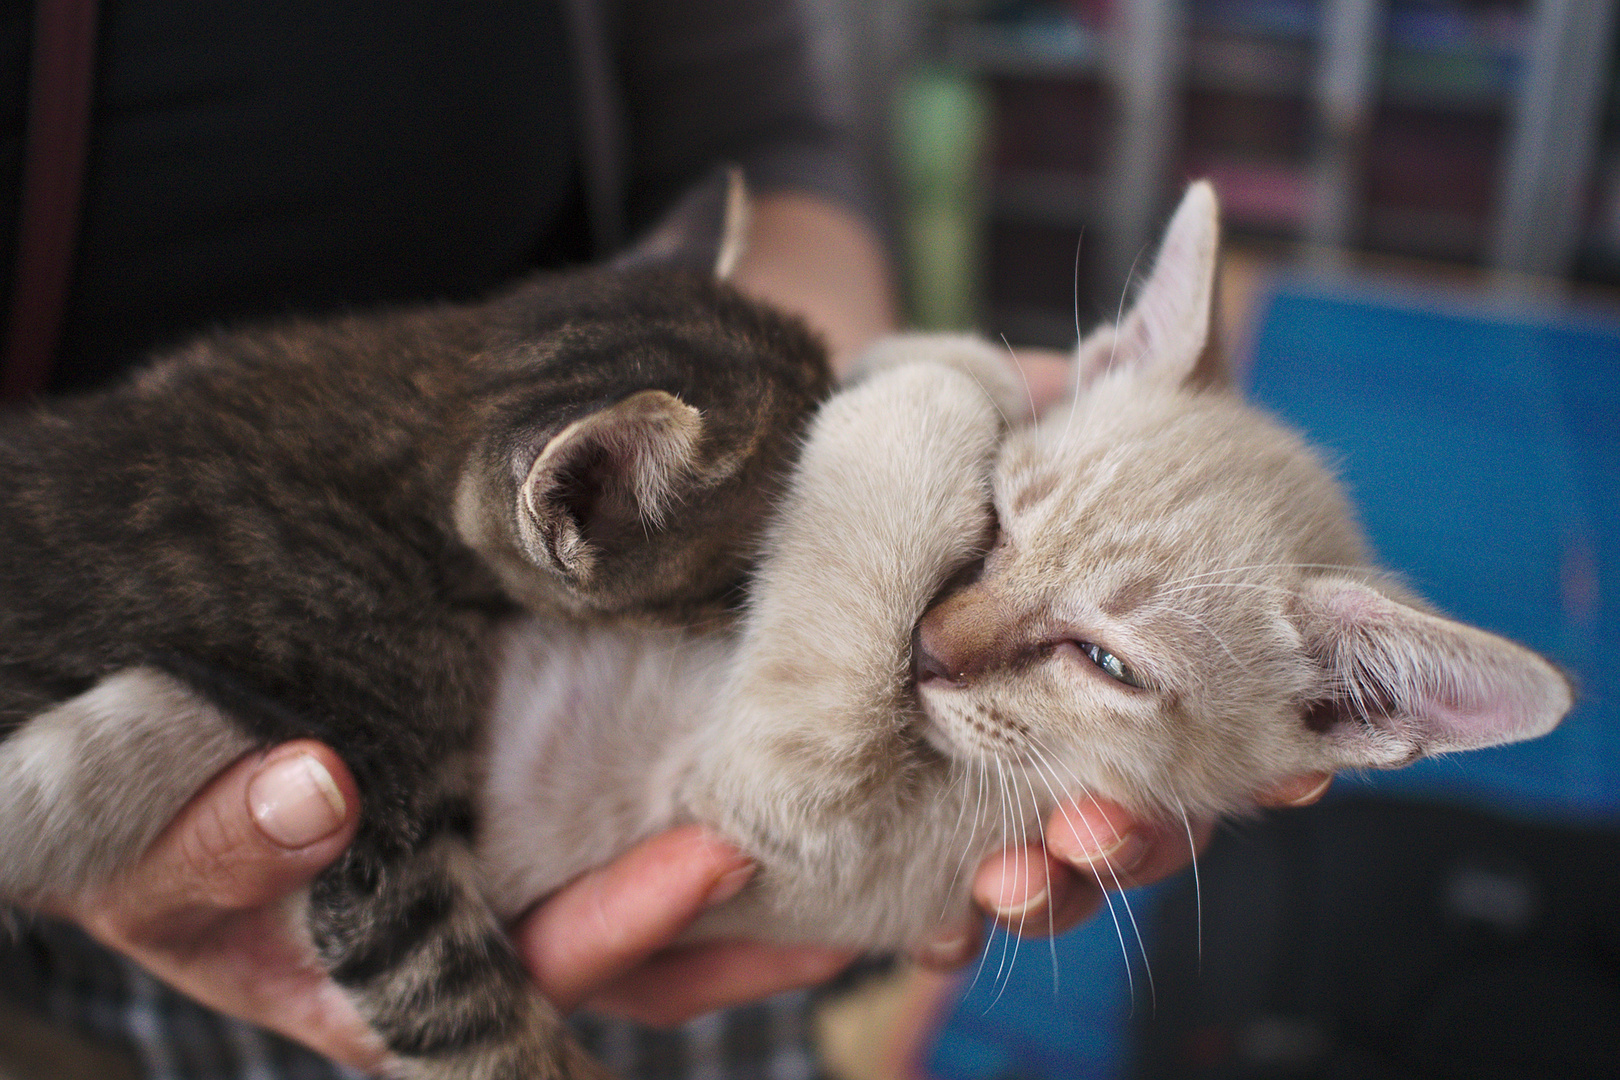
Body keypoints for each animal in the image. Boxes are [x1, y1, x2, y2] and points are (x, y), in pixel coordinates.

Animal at [476, 179, 1568, 971]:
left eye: (1106, 664)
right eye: (998, 524)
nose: (926, 647)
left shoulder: (776, 804)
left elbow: (927, 411)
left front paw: (921, 392)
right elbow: (970, 370)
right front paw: (946, 367)